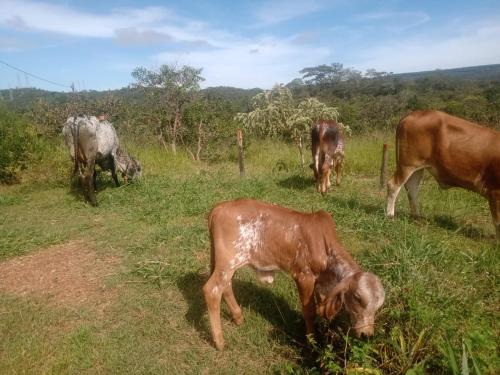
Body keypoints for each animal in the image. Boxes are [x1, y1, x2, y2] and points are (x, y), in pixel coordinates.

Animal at [201, 201, 384, 352]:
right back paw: (220, 342)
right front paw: (312, 341)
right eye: (358, 298)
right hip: (228, 261)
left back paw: (238, 317)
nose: (367, 335)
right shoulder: (304, 276)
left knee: (226, 286)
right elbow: (309, 311)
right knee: (212, 290)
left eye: (379, 306)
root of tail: (218, 208)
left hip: (226, 264)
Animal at [386, 110, 500, 238]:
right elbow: (498, 222)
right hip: (407, 163)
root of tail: (412, 114)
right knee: (394, 185)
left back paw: (417, 217)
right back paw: (390, 216)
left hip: (417, 167)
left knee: (412, 188)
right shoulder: (495, 192)